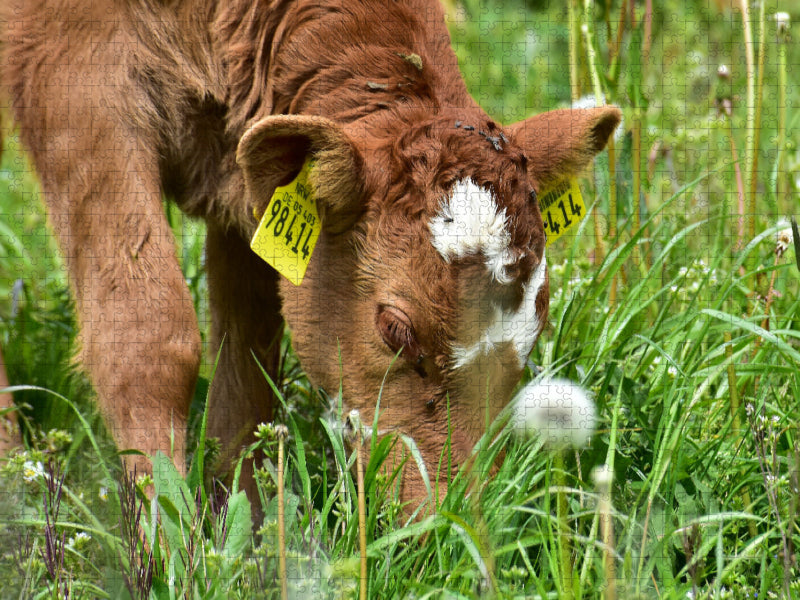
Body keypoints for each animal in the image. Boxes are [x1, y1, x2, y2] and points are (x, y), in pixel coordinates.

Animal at [0, 0, 620, 506]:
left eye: (534, 335)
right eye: (395, 329)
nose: (453, 521)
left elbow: (248, 361)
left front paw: (245, 534)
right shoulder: (77, 78)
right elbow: (148, 337)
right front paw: (168, 553)